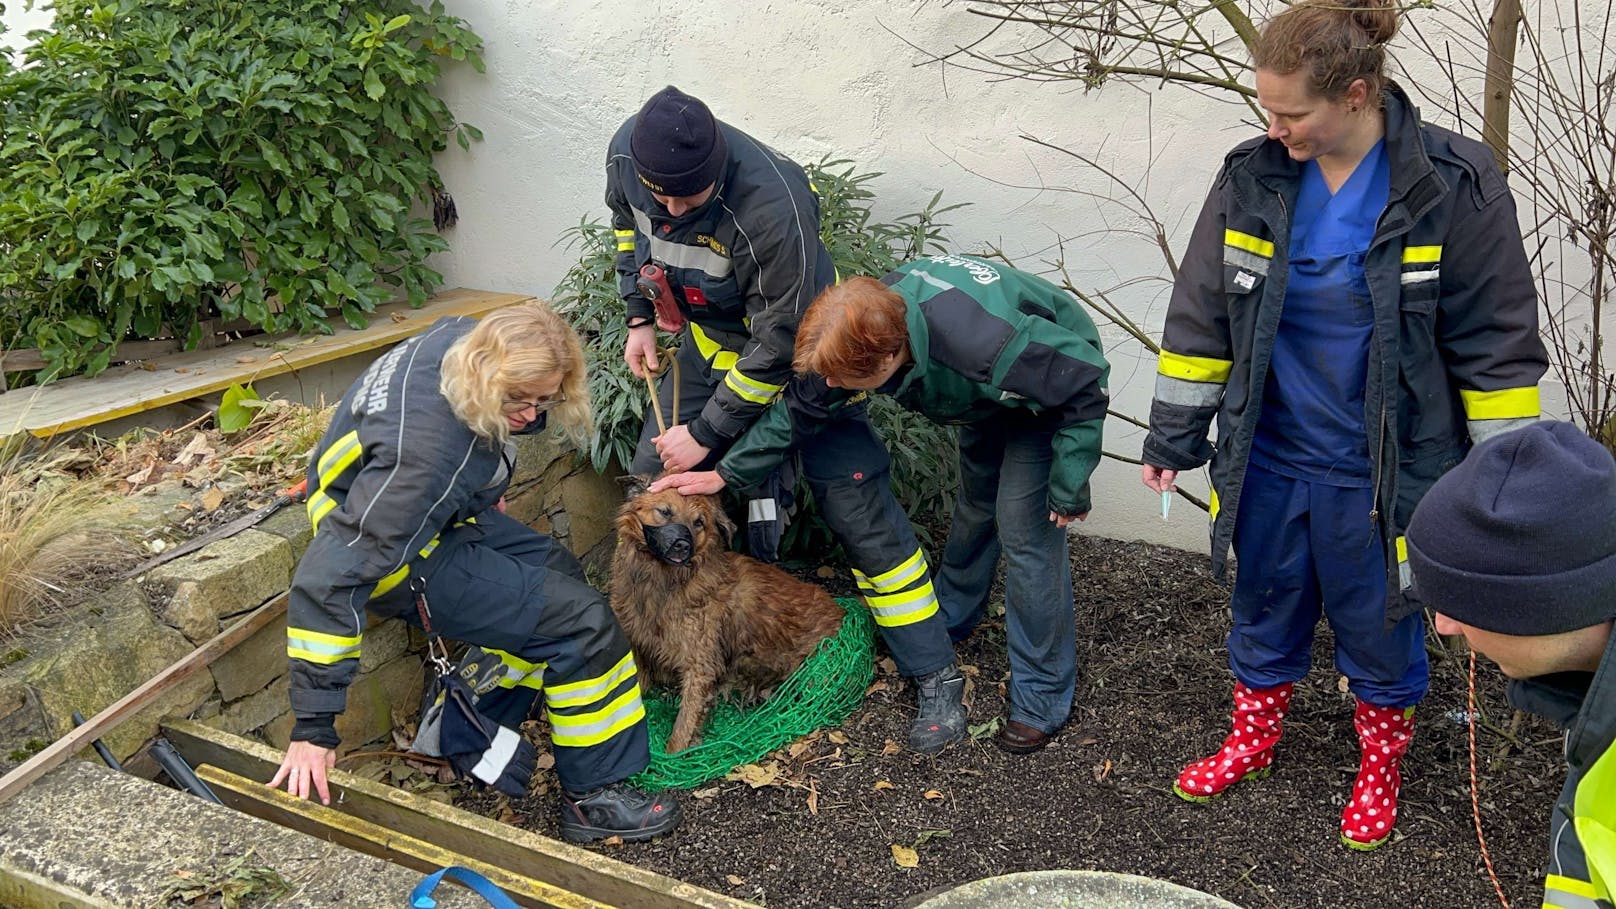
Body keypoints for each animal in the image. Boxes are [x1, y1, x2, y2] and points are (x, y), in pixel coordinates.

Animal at [610, 475, 846, 750]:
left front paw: (674, 755)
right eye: (664, 512)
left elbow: (682, 726)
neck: (663, 583)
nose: (682, 545)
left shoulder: (699, 665)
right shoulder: (639, 647)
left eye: (698, 522)